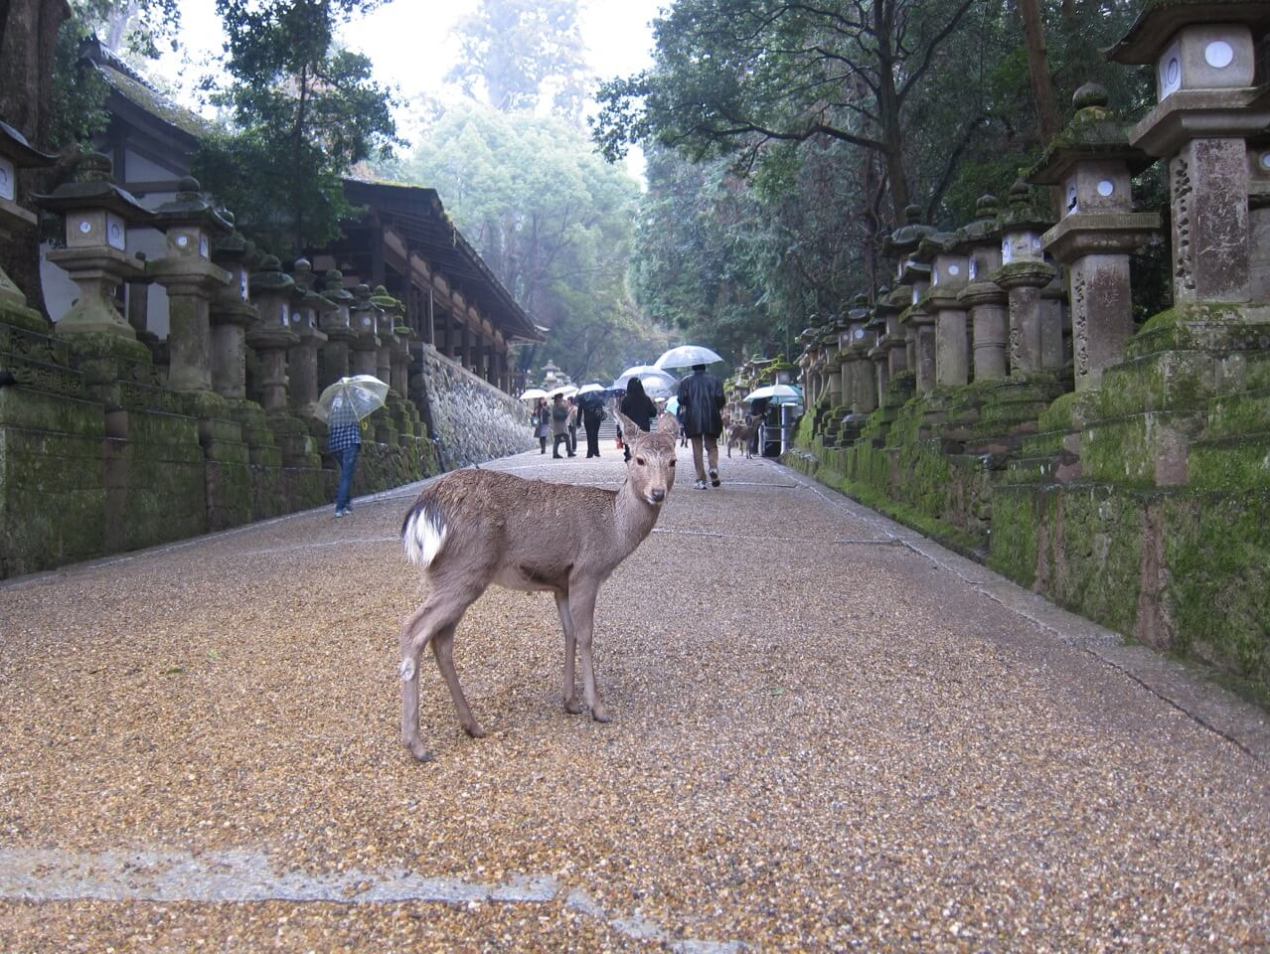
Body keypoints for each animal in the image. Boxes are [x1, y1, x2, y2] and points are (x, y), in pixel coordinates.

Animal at [396, 409, 680, 762]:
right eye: (639, 459)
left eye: (673, 460)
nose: (657, 493)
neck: (613, 532)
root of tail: (423, 509)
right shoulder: (586, 571)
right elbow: (586, 635)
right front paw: (597, 708)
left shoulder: (561, 584)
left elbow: (569, 633)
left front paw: (570, 702)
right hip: (465, 569)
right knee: (414, 629)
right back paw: (417, 744)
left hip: (452, 575)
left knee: (441, 640)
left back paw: (472, 725)